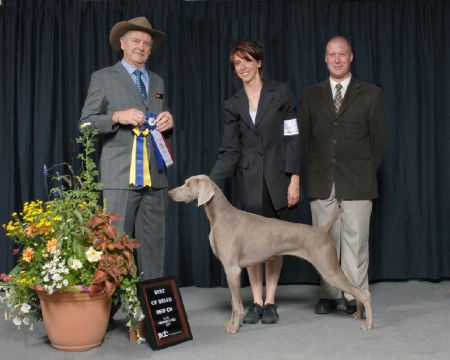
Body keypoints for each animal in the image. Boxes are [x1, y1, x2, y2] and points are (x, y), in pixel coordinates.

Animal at [169, 174, 372, 332]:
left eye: (188, 184)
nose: (170, 192)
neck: (219, 216)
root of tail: (322, 231)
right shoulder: (230, 271)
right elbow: (233, 303)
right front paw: (230, 324)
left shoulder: (232, 269)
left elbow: (237, 304)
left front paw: (234, 327)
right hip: (331, 268)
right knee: (359, 289)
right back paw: (358, 314)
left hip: (328, 268)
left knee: (364, 293)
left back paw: (368, 324)